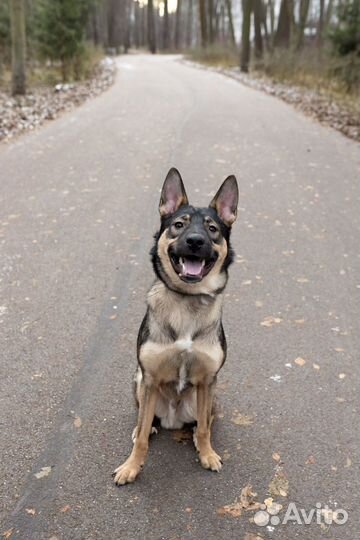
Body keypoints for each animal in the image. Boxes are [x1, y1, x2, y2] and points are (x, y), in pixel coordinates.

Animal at [114, 169, 238, 486]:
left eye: (212, 229)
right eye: (178, 225)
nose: (194, 241)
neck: (187, 300)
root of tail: (173, 419)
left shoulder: (207, 380)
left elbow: (204, 429)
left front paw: (207, 454)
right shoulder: (149, 378)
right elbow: (143, 439)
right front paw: (131, 466)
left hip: (210, 398)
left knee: (203, 422)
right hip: (138, 382)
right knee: (144, 422)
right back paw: (143, 428)